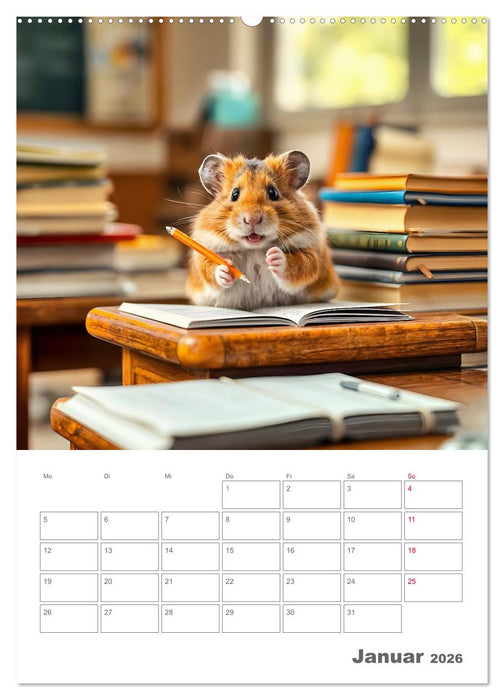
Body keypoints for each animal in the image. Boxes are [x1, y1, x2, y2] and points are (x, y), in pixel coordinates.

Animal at [186, 150, 339, 310]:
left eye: (273, 192)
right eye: (234, 194)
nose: (252, 219)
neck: (254, 248)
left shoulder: (310, 253)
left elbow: (302, 265)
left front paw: (274, 256)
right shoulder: (205, 255)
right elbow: (210, 269)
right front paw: (226, 269)